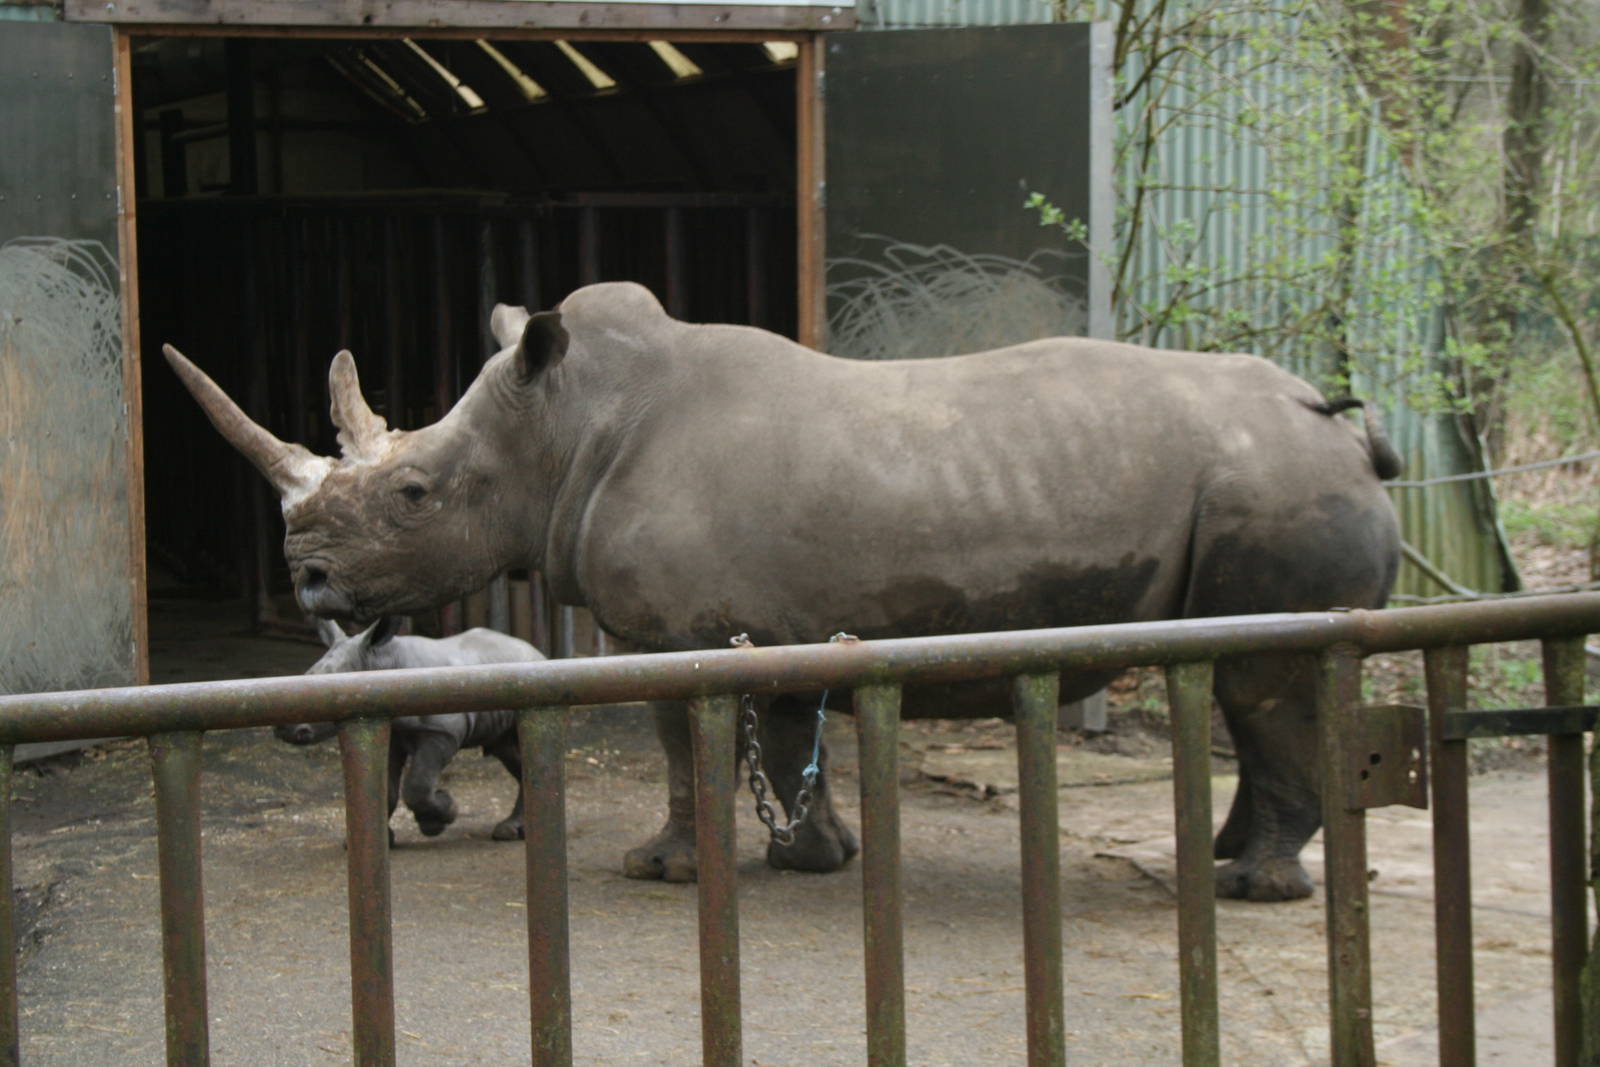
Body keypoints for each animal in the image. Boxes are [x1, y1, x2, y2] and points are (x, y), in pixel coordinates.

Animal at [278, 616, 541, 843]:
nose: (285, 729)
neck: (384, 663)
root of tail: (536, 652)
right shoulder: (392, 732)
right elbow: (385, 791)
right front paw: (387, 838)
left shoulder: (440, 733)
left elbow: (417, 785)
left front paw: (442, 815)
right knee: (508, 751)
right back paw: (511, 830)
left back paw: (513, 832)